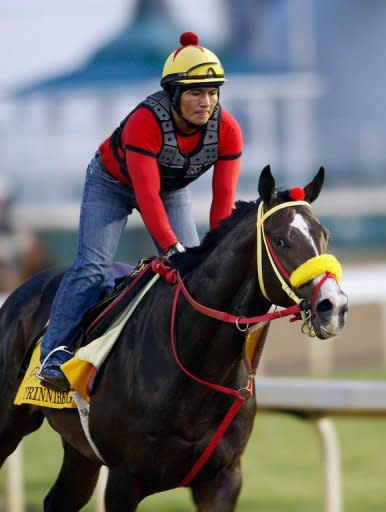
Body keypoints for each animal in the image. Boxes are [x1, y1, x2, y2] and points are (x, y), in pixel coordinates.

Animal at [0, 166, 348, 510]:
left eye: (325, 235)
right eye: (280, 240)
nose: (334, 306)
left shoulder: (222, 479)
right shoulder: (124, 480)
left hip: (80, 451)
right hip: (10, 422)